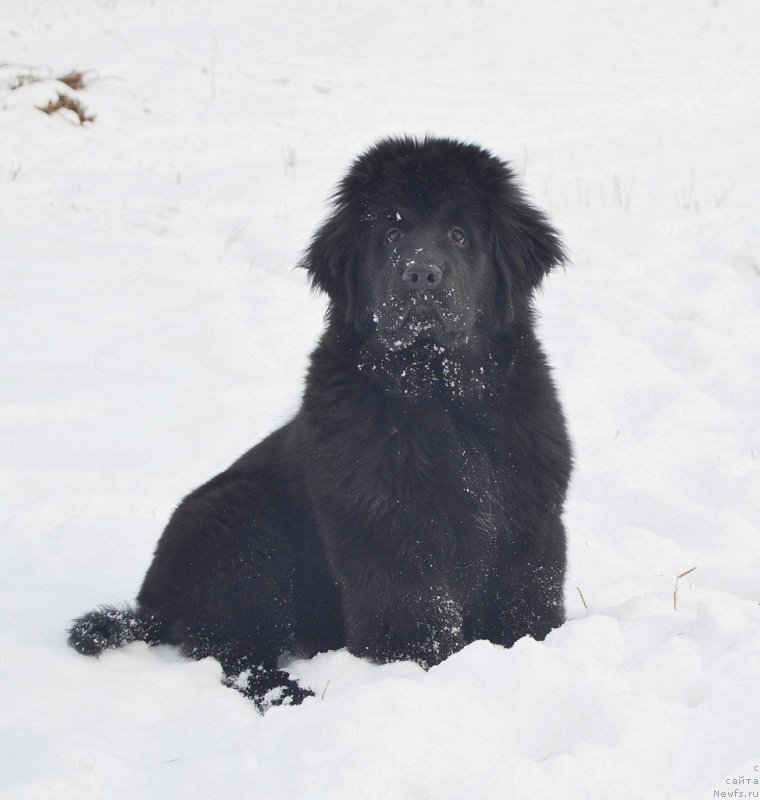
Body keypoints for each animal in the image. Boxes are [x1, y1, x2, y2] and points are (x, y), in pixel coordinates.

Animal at [70, 138, 568, 712]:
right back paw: (294, 693)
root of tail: (151, 599)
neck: (441, 399)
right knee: (233, 655)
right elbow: (418, 623)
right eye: (391, 234)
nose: (421, 275)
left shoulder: (531, 528)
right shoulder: (390, 540)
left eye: (459, 234)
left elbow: (530, 609)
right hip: (246, 539)